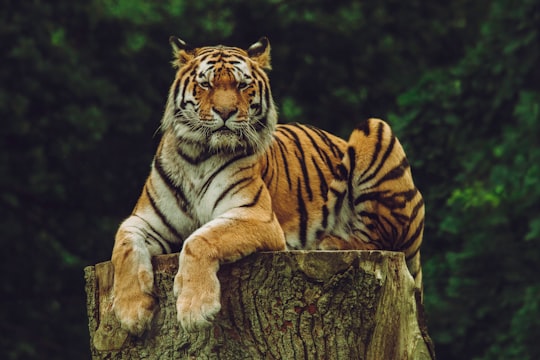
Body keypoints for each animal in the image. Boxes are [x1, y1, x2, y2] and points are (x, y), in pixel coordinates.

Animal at [112, 36, 424, 334]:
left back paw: (330, 242)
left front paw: (195, 309)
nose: (225, 112)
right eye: (206, 84)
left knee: (381, 238)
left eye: (242, 85)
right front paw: (131, 312)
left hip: (375, 128)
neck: (197, 156)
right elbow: (123, 247)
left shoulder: (256, 216)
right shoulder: (145, 220)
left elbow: (199, 239)